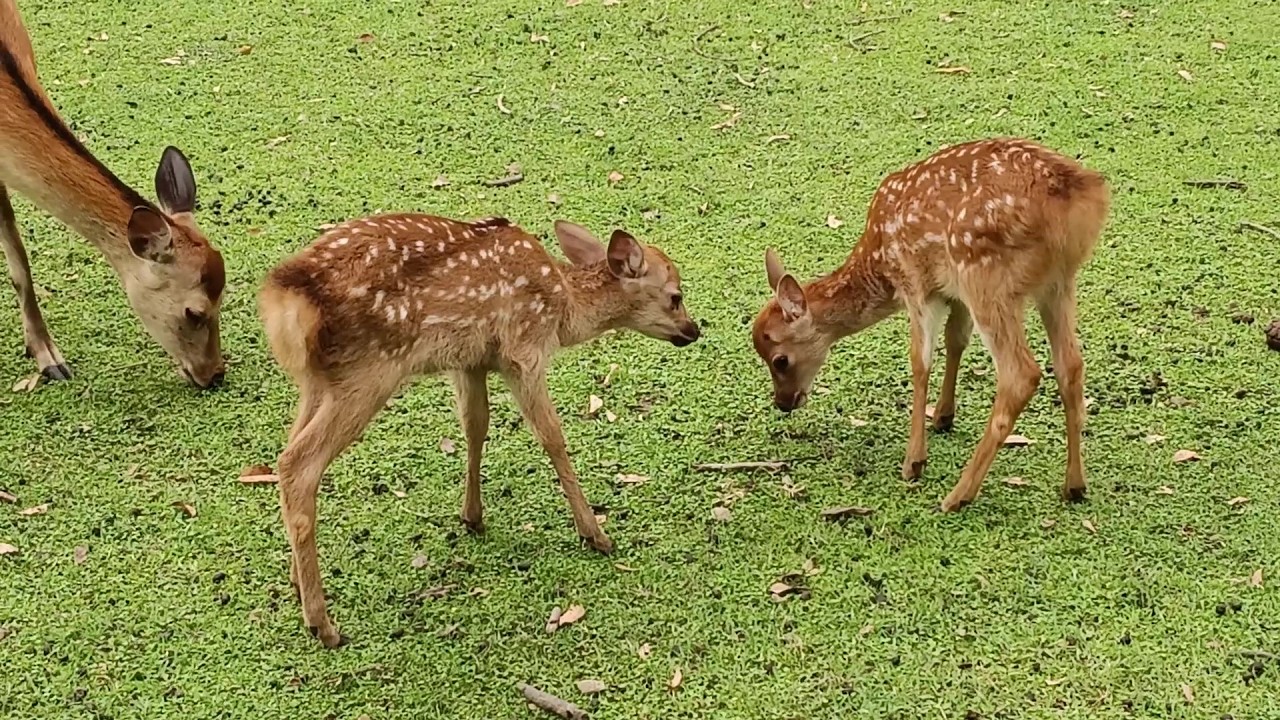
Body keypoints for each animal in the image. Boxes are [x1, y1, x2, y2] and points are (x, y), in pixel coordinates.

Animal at [256, 213, 701, 646]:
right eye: (675, 296)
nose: (694, 330)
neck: (564, 308)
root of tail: (287, 299)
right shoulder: (523, 349)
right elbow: (552, 437)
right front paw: (595, 534)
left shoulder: (470, 360)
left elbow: (475, 426)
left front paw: (472, 516)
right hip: (369, 371)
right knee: (297, 465)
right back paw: (323, 624)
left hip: (317, 381)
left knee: (286, 457)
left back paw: (297, 582)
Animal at [752, 137, 1110, 513]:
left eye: (780, 360)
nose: (783, 402)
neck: (879, 262)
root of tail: (1080, 195)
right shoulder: (954, 293)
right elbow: (956, 340)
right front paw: (942, 416)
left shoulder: (917, 285)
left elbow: (920, 363)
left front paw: (913, 462)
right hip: (1057, 283)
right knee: (1070, 365)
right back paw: (1074, 485)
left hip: (986, 275)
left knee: (1021, 373)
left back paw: (957, 495)